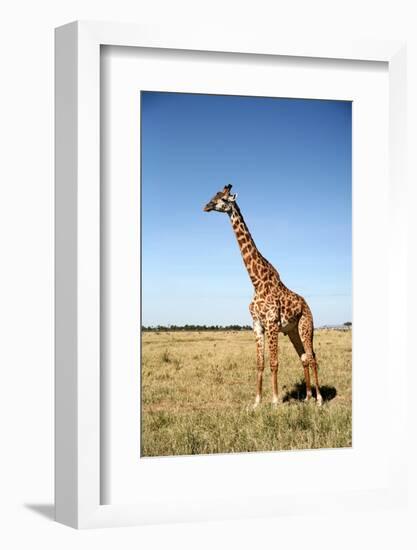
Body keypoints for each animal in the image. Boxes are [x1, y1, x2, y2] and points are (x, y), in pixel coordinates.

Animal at [203, 188, 324, 408]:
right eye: (213, 196)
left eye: (223, 199)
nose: (206, 206)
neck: (256, 282)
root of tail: (307, 304)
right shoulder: (257, 324)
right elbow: (260, 363)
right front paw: (256, 402)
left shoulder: (272, 323)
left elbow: (274, 362)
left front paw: (275, 400)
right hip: (292, 331)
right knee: (303, 357)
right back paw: (308, 397)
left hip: (306, 326)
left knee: (312, 357)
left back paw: (319, 399)